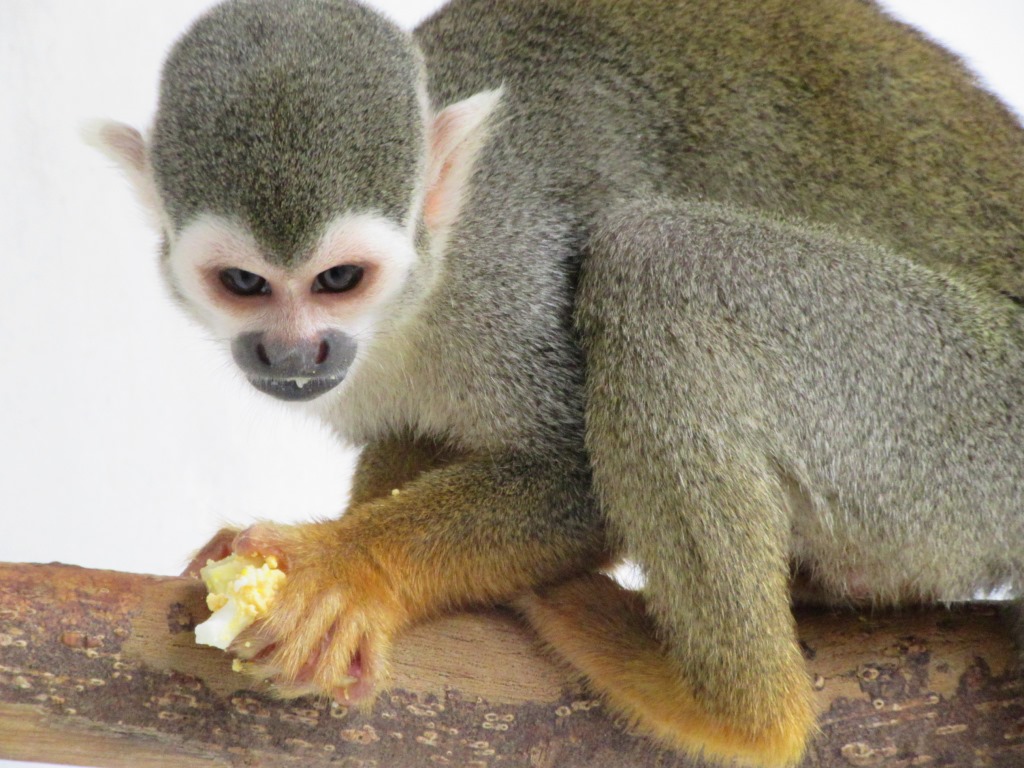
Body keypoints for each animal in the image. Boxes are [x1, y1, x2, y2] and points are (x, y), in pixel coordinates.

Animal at [92, 0, 1024, 765]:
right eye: (244, 284)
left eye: (339, 279)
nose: (293, 356)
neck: (425, 288)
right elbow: (418, 436)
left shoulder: (512, 277)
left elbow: (577, 475)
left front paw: (351, 569)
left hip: (961, 420)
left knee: (659, 261)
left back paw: (728, 708)